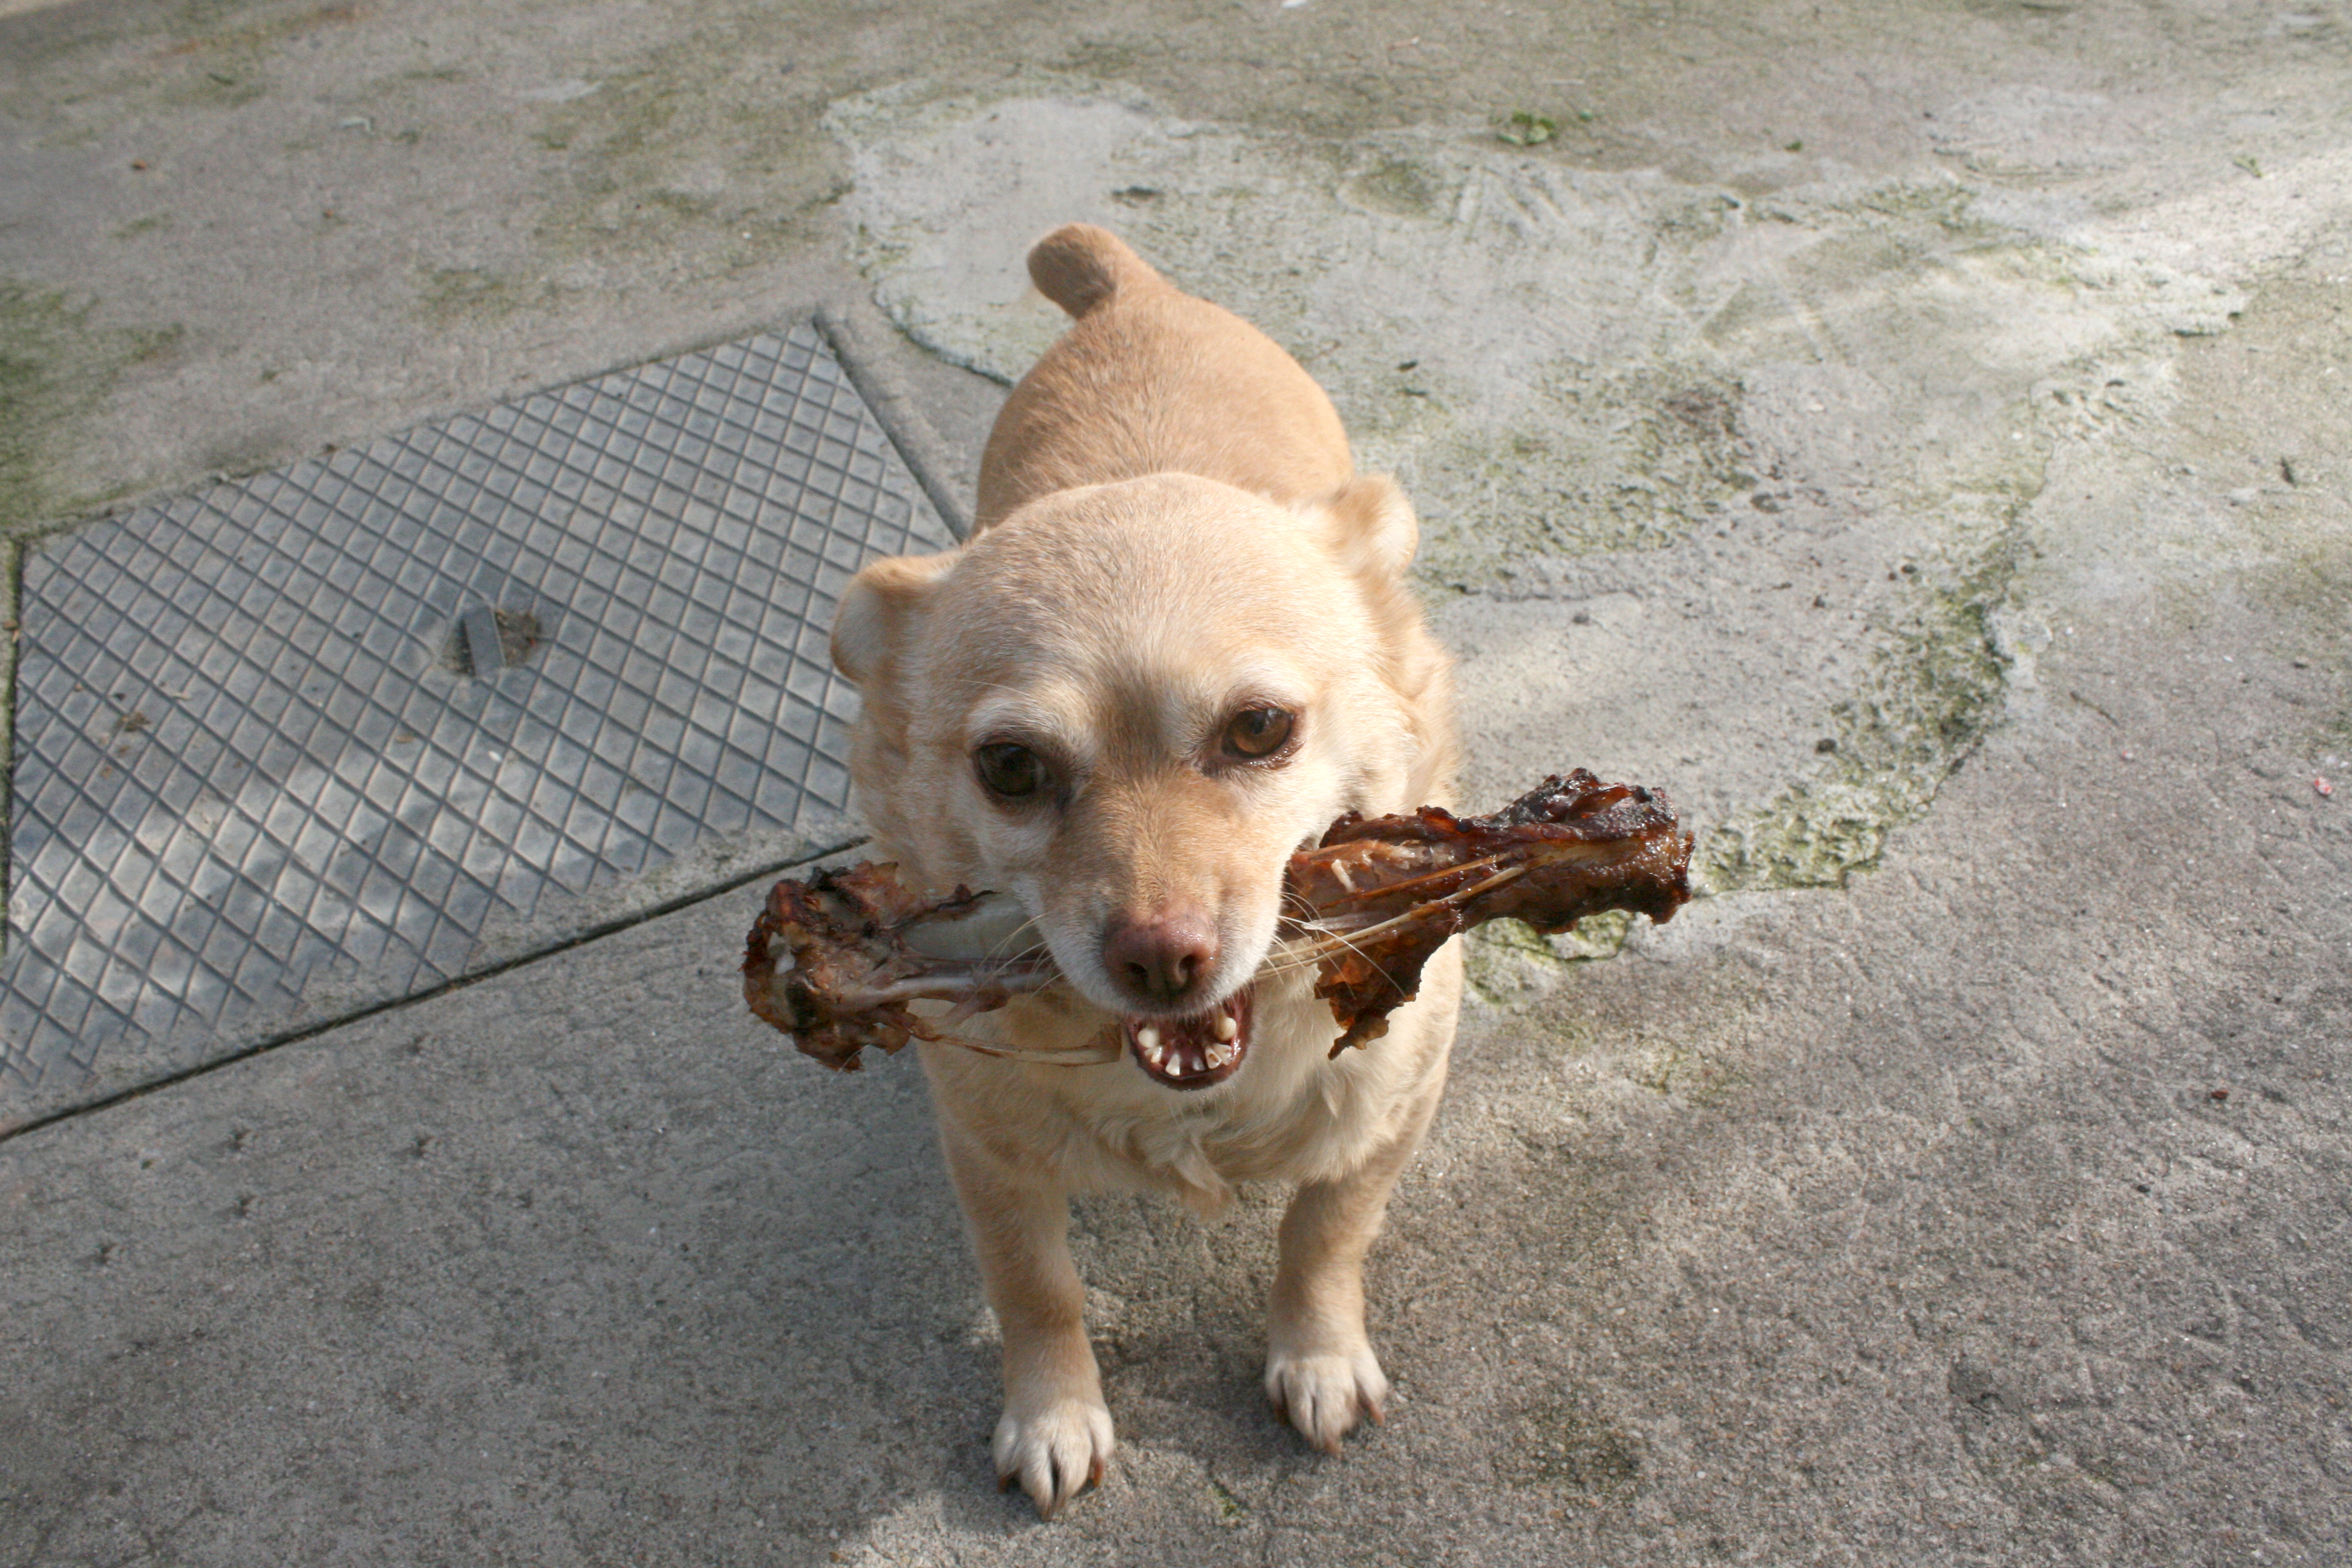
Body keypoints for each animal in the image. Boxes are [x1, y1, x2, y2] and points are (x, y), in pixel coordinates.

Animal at [828, 223, 1449, 1523]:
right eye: (1011, 768)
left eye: (1258, 729)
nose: (1162, 957)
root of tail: (1135, 290)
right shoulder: (988, 1159)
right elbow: (1035, 1289)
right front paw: (1053, 1413)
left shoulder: (1390, 1110)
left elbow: (1324, 1231)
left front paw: (1316, 1353)